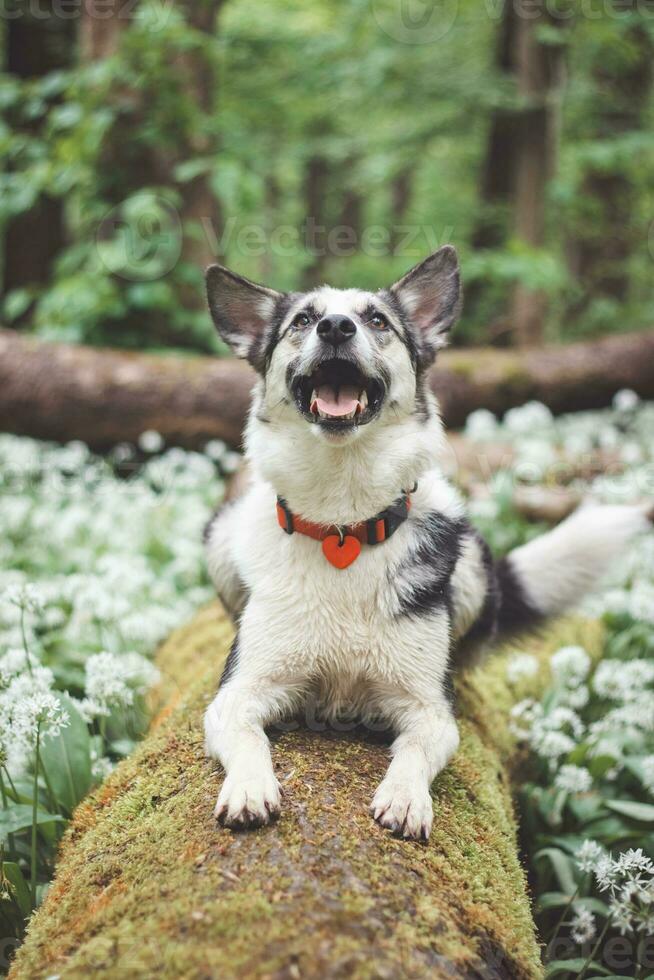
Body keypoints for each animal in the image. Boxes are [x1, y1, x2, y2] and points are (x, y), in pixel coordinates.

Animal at [202, 247, 652, 844]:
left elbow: (415, 748)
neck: (344, 523)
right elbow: (248, 736)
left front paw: (405, 797)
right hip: (220, 534)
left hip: (473, 562)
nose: (336, 327)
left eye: (376, 321)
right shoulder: (239, 692)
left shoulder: (429, 708)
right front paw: (251, 786)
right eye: (302, 320)